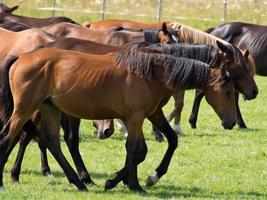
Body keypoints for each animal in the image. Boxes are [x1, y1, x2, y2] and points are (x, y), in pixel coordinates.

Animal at [0, 46, 238, 191]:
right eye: (227, 92)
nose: (232, 122)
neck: (151, 72)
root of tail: (21, 57)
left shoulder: (151, 114)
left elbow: (168, 141)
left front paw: (141, 179)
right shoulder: (135, 118)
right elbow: (137, 150)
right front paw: (130, 184)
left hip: (50, 109)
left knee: (51, 142)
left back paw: (79, 182)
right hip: (25, 109)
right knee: (8, 137)